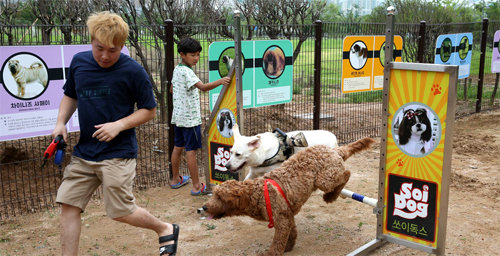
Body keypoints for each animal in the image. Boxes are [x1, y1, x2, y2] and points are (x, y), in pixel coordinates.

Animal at [201, 137, 374, 255]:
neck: (257, 194)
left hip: (324, 180)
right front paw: (289, 247)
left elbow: (277, 242)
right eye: (214, 195)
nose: (203, 207)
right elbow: (291, 234)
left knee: (346, 174)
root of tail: (335, 150)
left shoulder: (281, 220)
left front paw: (271, 253)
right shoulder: (287, 215)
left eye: (220, 197)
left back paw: (330, 197)